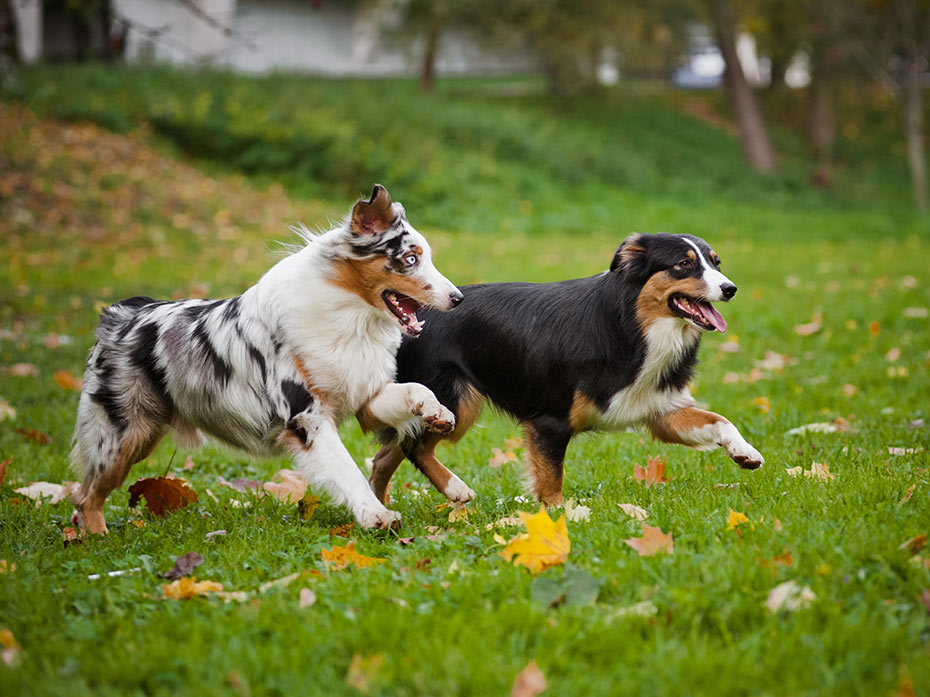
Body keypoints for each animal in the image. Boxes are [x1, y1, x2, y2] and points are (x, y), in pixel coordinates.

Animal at [368, 231, 760, 502]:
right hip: (451, 401)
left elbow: (719, 419)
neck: (631, 324)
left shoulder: (658, 407)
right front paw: (561, 518)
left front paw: (745, 451)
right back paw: (455, 490)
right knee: (413, 448)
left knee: (387, 453)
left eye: (716, 263)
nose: (731, 288)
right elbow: (551, 480)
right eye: (684, 264)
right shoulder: (549, 421)